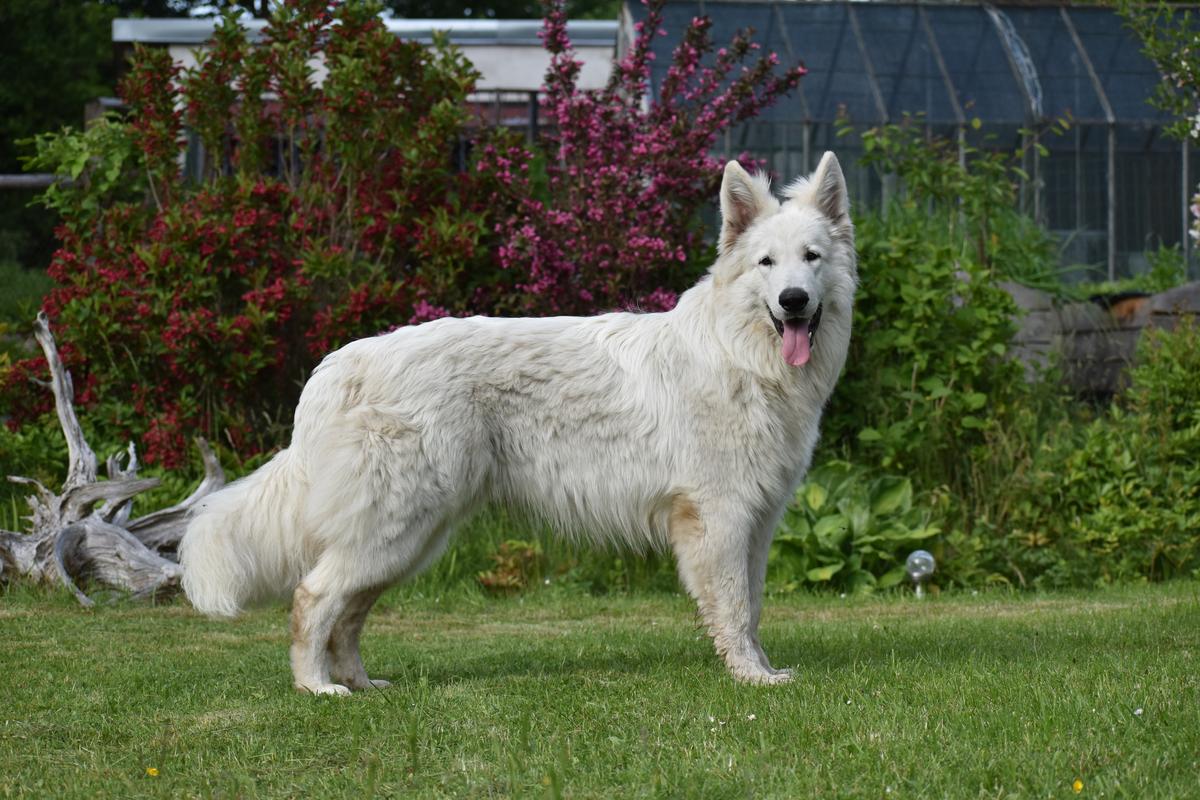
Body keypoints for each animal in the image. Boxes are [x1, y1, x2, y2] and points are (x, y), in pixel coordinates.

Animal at [180, 151, 854, 695]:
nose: (793, 300)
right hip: (394, 529)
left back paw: (363, 683)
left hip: (409, 539)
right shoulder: (719, 519)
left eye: (811, 259)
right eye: (766, 263)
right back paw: (316, 688)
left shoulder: (756, 524)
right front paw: (751, 679)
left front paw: (761, 668)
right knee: (311, 598)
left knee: (347, 613)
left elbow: (754, 607)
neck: (743, 355)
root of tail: (341, 364)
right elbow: (735, 609)